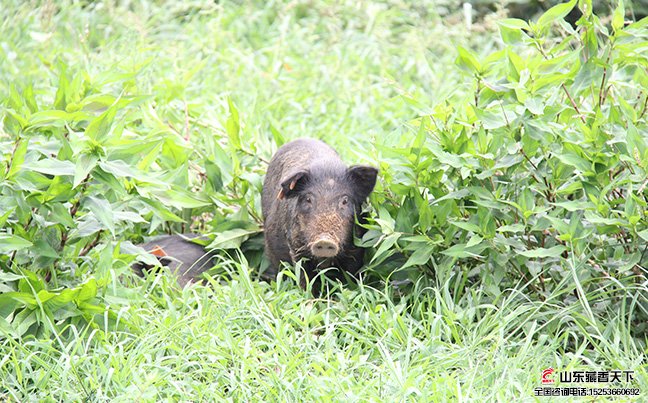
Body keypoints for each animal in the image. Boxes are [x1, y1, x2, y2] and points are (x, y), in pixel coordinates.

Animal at [260, 139, 378, 288]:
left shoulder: (357, 247)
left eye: (345, 200)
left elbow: (350, 275)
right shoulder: (296, 247)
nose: (324, 239)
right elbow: (304, 276)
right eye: (308, 199)